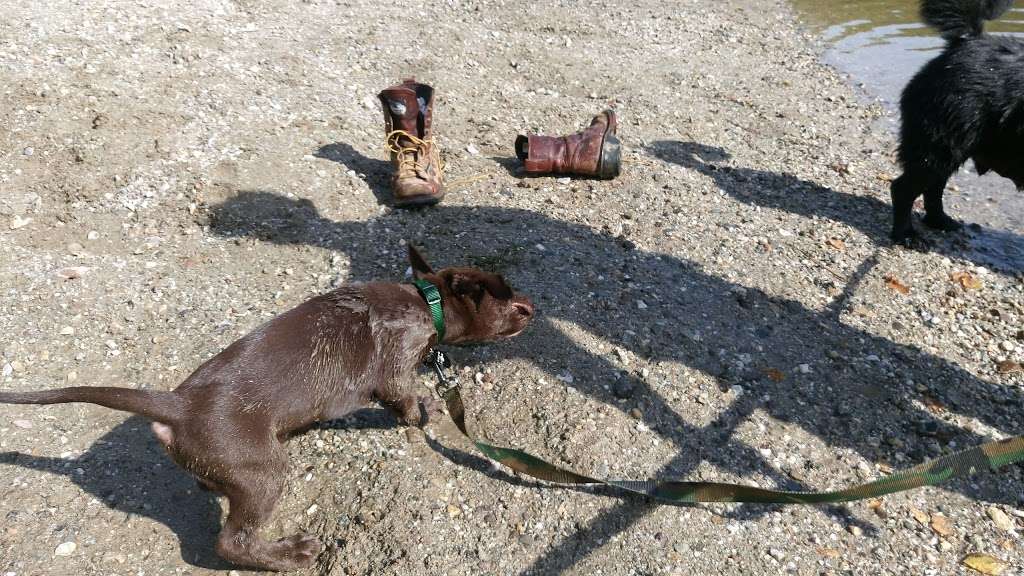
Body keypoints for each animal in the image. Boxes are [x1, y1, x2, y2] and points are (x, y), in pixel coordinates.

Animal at [0, 245, 532, 569]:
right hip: (264, 473)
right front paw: (425, 410)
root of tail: (177, 406)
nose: (532, 307)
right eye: (505, 296)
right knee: (231, 542)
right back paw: (291, 554)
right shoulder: (396, 369)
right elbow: (404, 401)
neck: (427, 301)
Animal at [888, 0, 1024, 243]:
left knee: (934, 187)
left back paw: (940, 221)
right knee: (905, 188)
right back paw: (906, 234)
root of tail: (967, 42)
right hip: (942, 139)